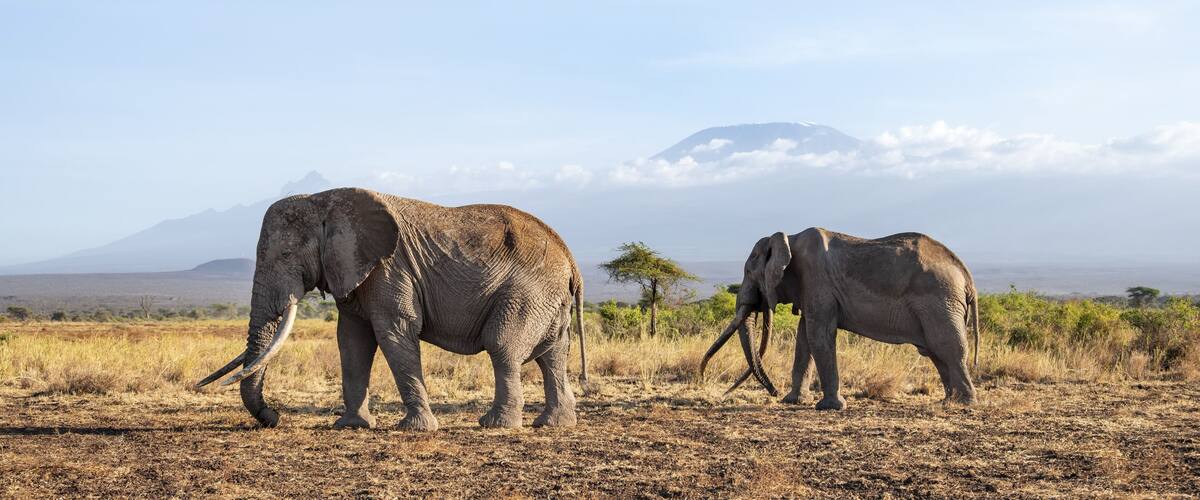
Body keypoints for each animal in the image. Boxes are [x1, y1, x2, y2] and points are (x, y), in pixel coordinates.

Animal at [196, 188, 587, 430]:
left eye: (287, 254)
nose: (273, 416)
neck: (325, 200)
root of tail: (571, 259)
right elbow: (351, 341)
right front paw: (351, 427)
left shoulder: (389, 268)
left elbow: (394, 332)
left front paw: (415, 429)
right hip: (548, 299)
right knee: (553, 355)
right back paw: (552, 424)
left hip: (527, 292)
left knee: (503, 347)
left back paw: (496, 426)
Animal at [700, 228, 979, 409]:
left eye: (749, 272)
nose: (774, 392)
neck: (788, 239)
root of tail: (967, 277)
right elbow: (804, 337)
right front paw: (793, 402)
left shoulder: (817, 279)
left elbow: (818, 335)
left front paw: (830, 407)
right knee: (936, 353)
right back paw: (948, 401)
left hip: (939, 301)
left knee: (947, 347)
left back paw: (963, 404)